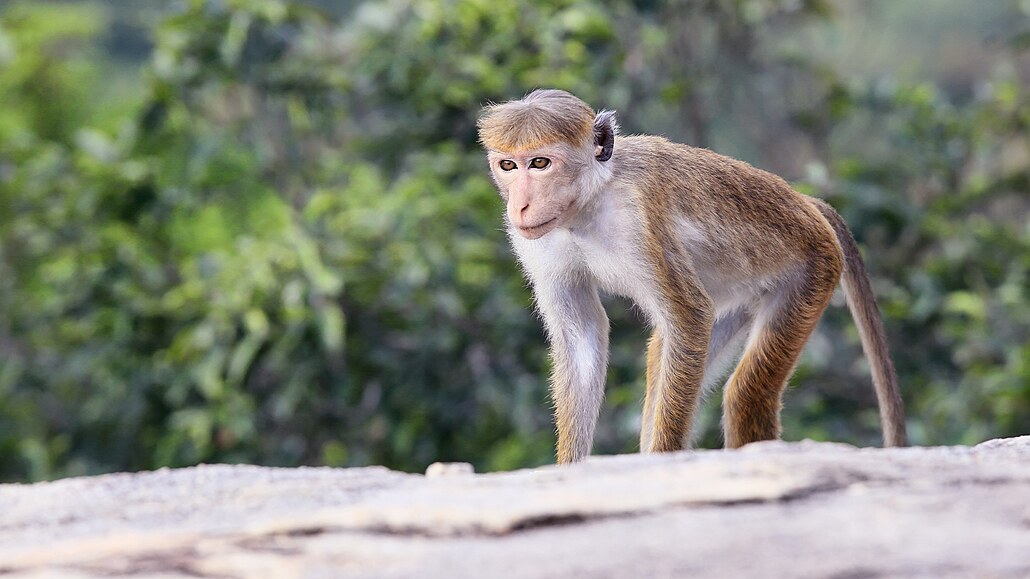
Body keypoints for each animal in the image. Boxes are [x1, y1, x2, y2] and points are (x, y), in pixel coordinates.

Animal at [475, 88, 910, 461]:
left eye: (540, 163)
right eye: (509, 165)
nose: (520, 205)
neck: (589, 203)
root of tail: (808, 206)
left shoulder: (637, 220)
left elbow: (689, 316)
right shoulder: (540, 244)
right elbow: (582, 336)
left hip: (812, 270)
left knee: (745, 393)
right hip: (741, 297)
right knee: (667, 354)